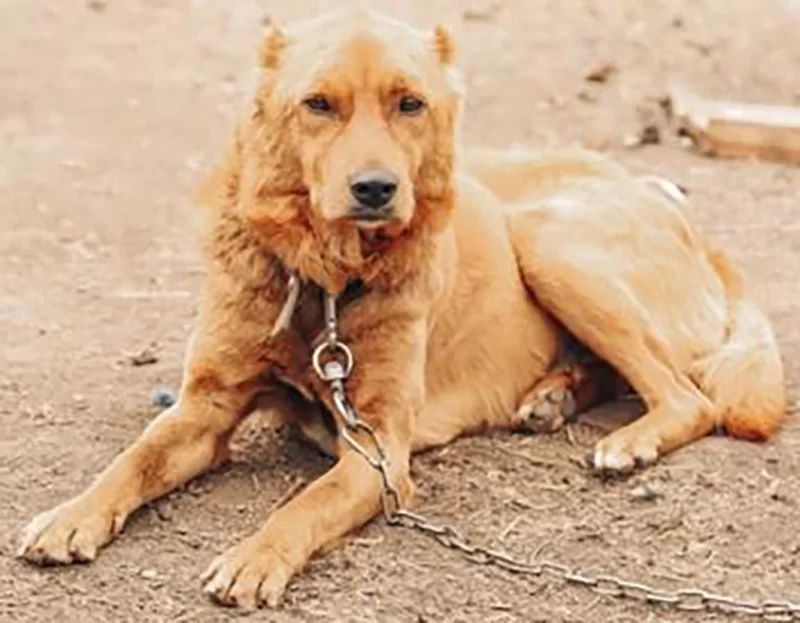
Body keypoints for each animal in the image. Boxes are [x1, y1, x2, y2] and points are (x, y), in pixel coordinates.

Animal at [18, 8, 788, 608]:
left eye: (409, 104)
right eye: (318, 104)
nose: (375, 189)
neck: (328, 281)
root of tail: (684, 217)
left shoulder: (379, 448)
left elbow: (304, 504)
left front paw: (256, 557)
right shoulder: (203, 411)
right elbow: (130, 462)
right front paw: (68, 517)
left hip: (549, 240)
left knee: (689, 397)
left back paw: (625, 439)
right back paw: (553, 397)